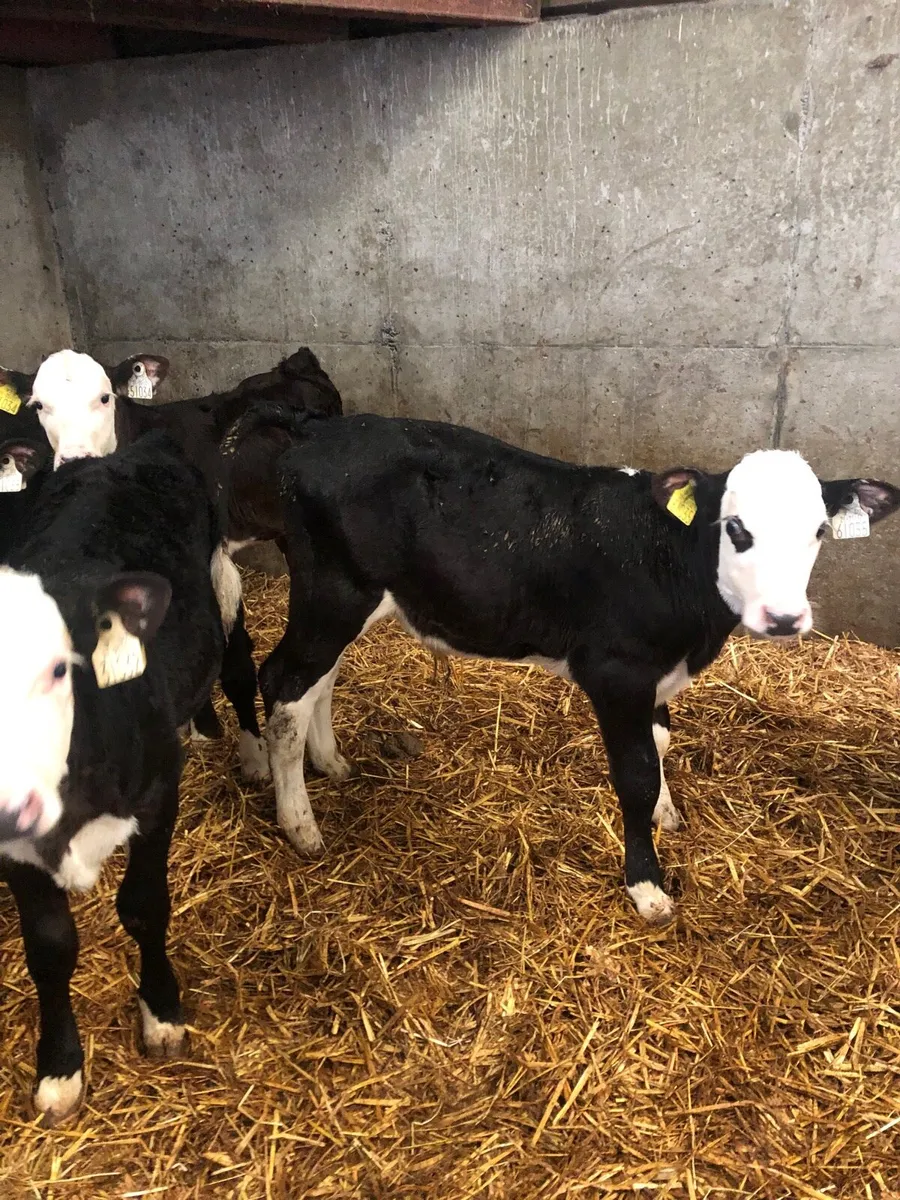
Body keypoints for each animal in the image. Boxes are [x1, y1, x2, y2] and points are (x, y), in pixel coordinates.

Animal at [0, 431, 228, 1124]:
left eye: (57, 669)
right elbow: (49, 947)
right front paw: (59, 1067)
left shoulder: (157, 795)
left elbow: (145, 907)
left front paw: (162, 1012)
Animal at [220, 408, 900, 924]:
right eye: (735, 528)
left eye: (819, 531)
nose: (785, 618)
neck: (672, 563)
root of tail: (317, 428)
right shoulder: (617, 672)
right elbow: (635, 773)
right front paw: (647, 886)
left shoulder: (656, 675)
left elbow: (660, 741)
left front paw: (668, 815)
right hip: (335, 593)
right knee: (284, 684)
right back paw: (300, 825)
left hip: (350, 601)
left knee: (320, 680)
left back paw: (330, 762)